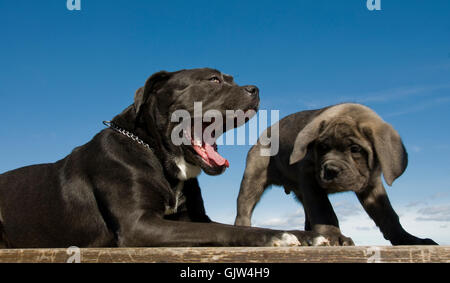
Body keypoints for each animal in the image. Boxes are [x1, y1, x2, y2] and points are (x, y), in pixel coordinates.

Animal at [0, 68, 324, 248]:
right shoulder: (139, 224)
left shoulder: (194, 216)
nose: (255, 89)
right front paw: (278, 236)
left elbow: (232, 226)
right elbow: (221, 230)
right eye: (214, 79)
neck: (154, 151)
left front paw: (309, 235)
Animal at [234, 103, 438, 246]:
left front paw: (408, 239)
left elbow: (388, 215)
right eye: (322, 147)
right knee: (244, 206)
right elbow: (324, 210)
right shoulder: (310, 179)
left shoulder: (372, 185)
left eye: (355, 149)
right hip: (253, 178)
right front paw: (334, 236)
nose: (331, 169)